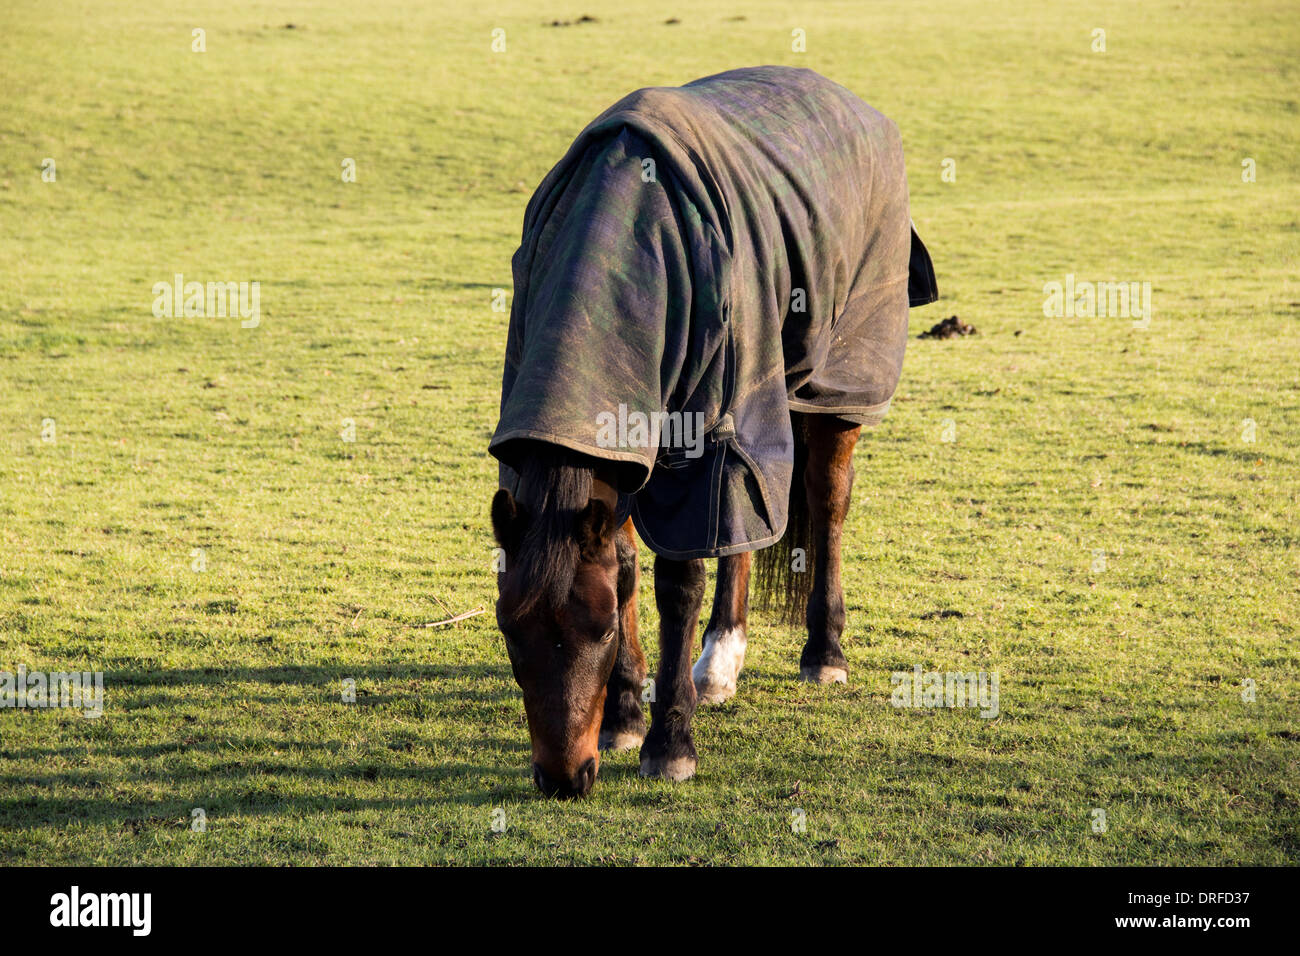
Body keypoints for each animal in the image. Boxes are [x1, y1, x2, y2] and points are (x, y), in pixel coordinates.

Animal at [488, 67, 935, 796]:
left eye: (597, 632)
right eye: (510, 631)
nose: (564, 779)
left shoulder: (698, 445)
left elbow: (678, 584)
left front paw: (669, 743)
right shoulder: (623, 443)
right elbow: (628, 562)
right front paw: (624, 715)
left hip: (831, 384)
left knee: (827, 503)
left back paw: (823, 652)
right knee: (743, 536)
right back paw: (721, 660)